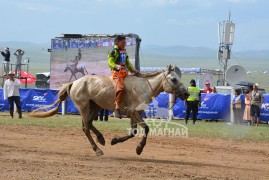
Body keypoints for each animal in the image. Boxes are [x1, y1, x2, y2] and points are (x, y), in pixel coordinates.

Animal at [29, 65, 186, 156]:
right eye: (173, 79)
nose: (186, 94)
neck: (144, 87)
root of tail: (74, 82)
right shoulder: (134, 113)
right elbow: (146, 129)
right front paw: (139, 148)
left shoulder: (134, 114)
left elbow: (133, 132)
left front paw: (115, 141)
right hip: (84, 107)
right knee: (85, 128)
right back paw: (97, 149)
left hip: (95, 106)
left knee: (89, 124)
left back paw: (101, 139)